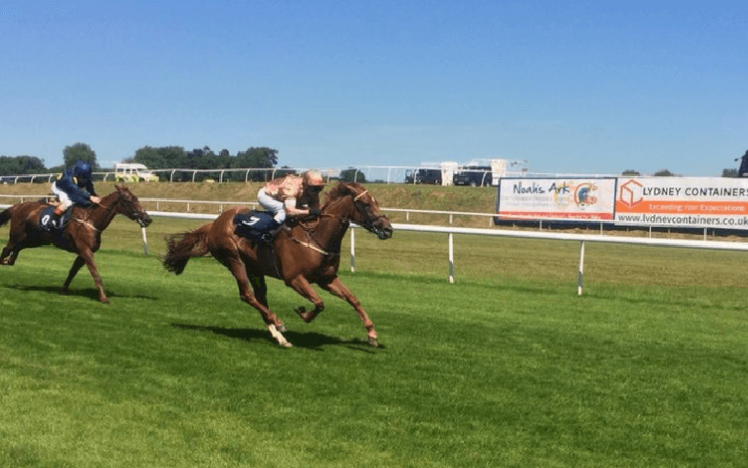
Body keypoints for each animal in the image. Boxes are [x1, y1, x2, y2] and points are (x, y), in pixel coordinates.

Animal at [0, 185, 153, 302]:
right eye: (128, 200)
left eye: (137, 198)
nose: (147, 219)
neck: (91, 220)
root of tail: (18, 206)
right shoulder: (85, 250)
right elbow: (95, 274)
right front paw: (104, 298)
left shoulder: (82, 252)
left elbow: (73, 271)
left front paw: (63, 289)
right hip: (17, 236)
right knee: (6, 249)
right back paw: (4, 261)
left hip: (33, 240)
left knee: (16, 250)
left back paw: (9, 261)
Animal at [164, 182, 394, 348]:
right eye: (365, 204)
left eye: (376, 202)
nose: (388, 229)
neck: (316, 236)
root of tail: (214, 223)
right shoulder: (294, 279)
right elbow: (319, 303)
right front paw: (303, 313)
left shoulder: (326, 278)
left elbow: (353, 299)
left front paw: (372, 334)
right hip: (233, 259)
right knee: (246, 295)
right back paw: (278, 322)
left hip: (254, 268)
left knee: (260, 298)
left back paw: (279, 336)